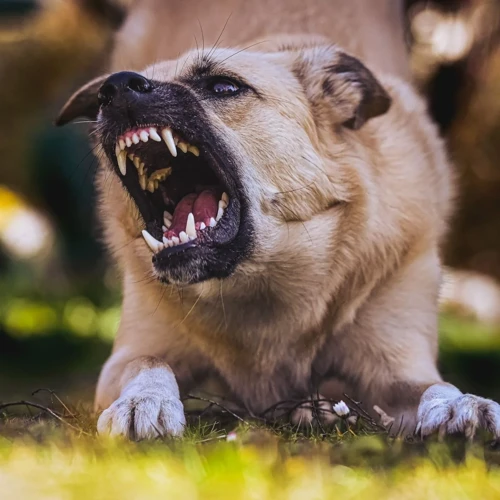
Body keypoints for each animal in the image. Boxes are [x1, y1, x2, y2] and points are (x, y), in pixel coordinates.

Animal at [56, 0, 500, 440]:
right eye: (105, 94)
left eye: (223, 86)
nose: (113, 89)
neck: (262, 282)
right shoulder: (130, 354)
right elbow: (148, 363)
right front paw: (142, 401)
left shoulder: (398, 367)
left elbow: (434, 386)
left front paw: (464, 404)